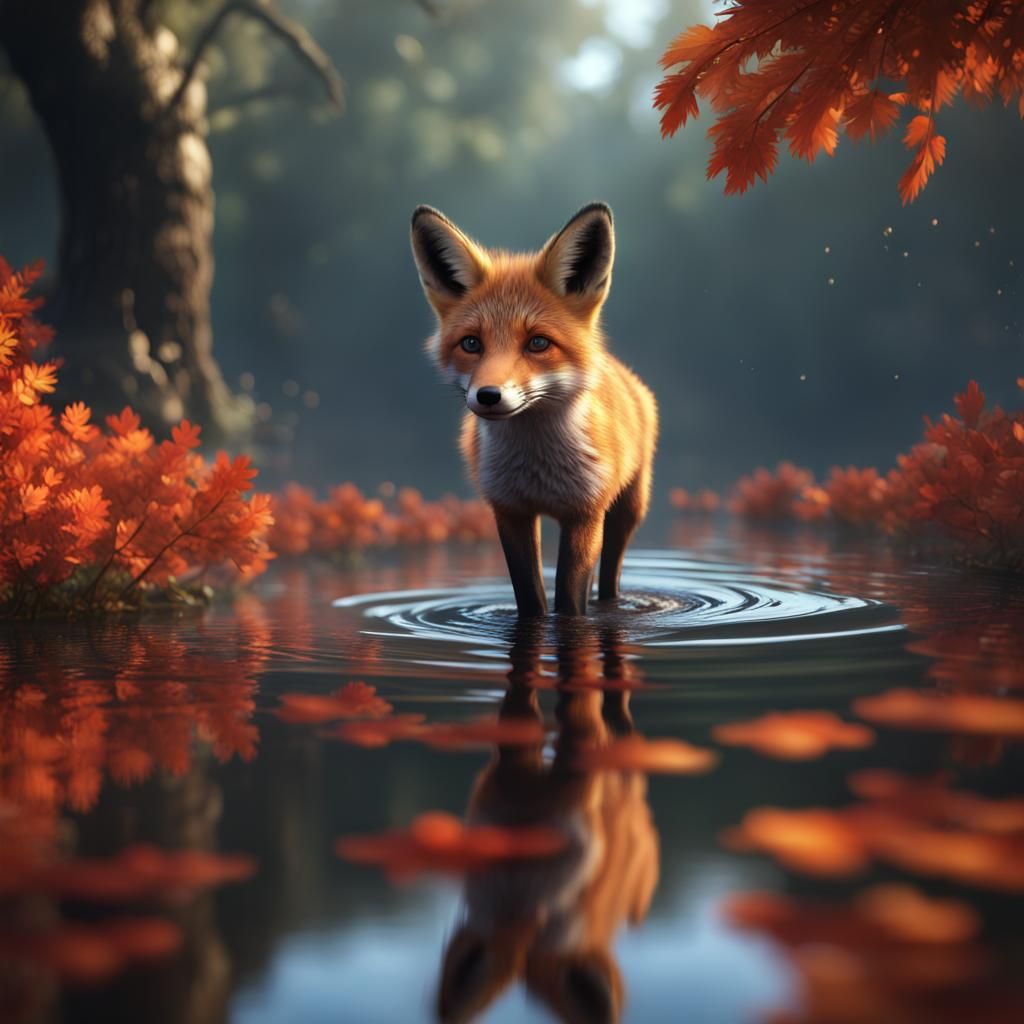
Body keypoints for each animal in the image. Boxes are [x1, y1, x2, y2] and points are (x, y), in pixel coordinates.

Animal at [410, 203, 658, 616]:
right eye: (471, 343)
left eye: (538, 343)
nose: (488, 395)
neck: (537, 468)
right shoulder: (511, 511)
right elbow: (531, 599)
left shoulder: (585, 513)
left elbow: (571, 601)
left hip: (627, 511)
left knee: (609, 580)